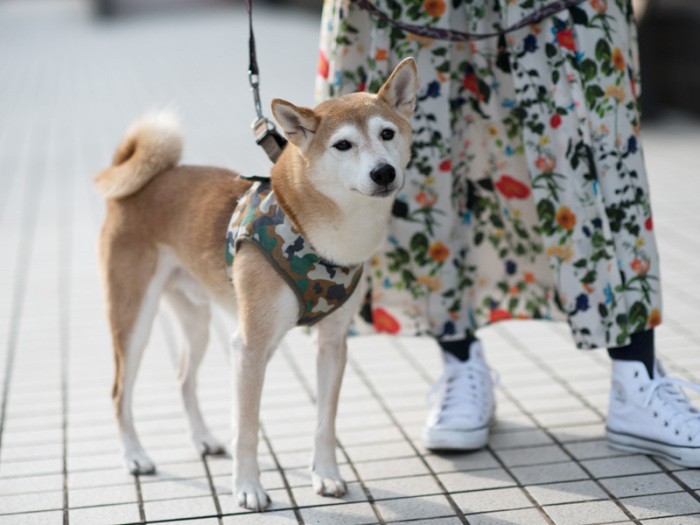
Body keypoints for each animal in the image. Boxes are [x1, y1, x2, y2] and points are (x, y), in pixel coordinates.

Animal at [95, 59, 418, 510]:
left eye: (387, 133)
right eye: (343, 145)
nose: (384, 172)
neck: (321, 232)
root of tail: (142, 182)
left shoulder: (332, 344)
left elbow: (325, 423)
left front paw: (327, 476)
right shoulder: (249, 346)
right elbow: (247, 429)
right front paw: (248, 488)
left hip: (196, 321)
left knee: (183, 378)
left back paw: (203, 439)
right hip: (133, 319)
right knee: (119, 391)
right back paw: (135, 456)